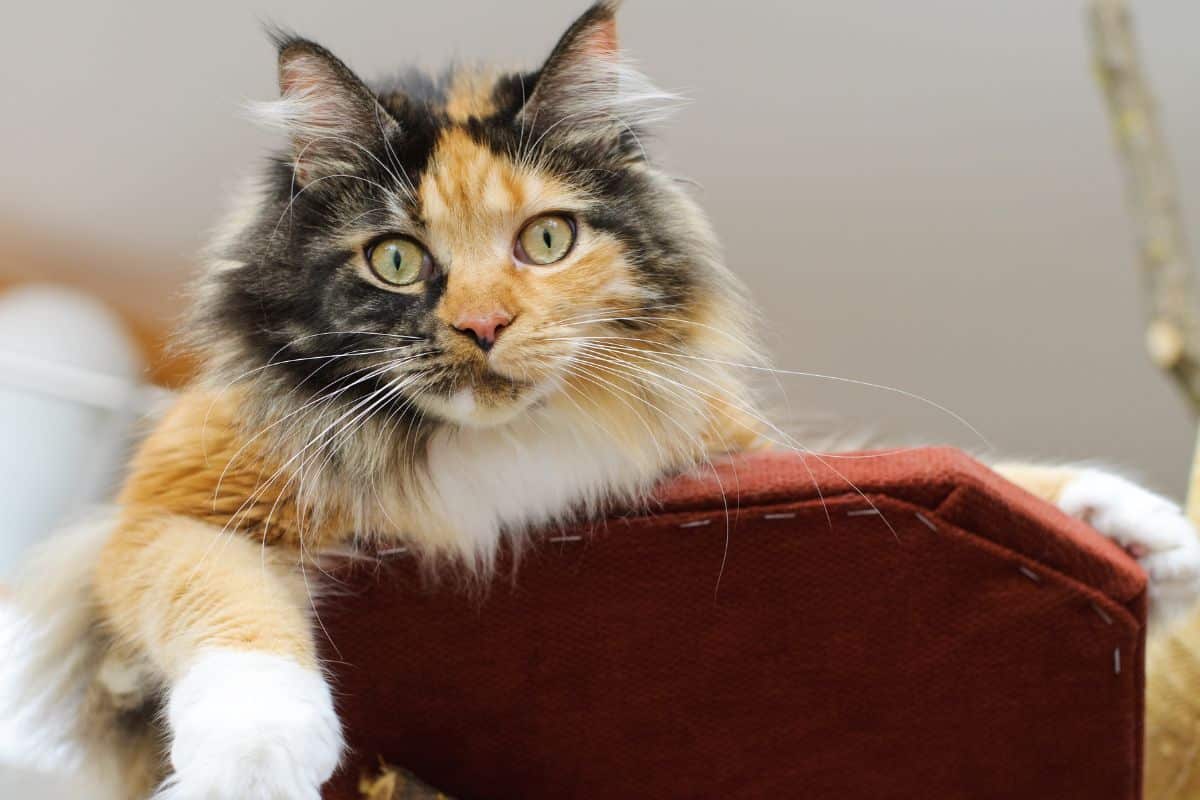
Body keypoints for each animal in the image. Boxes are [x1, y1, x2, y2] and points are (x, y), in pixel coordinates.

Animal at [2, 1, 1200, 800]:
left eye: (546, 241)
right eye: (397, 259)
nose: (484, 326)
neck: (501, 449)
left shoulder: (733, 451)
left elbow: (981, 468)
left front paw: (1143, 528)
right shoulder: (166, 510)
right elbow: (229, 604)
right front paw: (253, 759)